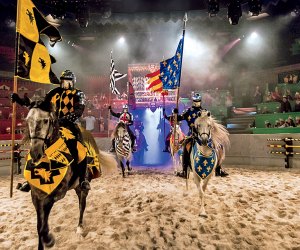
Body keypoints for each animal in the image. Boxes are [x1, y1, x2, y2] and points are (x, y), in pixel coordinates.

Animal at [23, 100, 117, 250]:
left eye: (45, 120)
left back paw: (79, 228)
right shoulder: (36, 197)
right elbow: (39, 226)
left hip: (82, 188)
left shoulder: (55, 195)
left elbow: (43, 227)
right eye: (28, 120)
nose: (35, 153)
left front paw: (49, 240)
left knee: (82, 206)